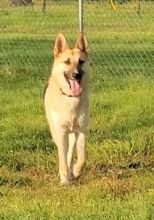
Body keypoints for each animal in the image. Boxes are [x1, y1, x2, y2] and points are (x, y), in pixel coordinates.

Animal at [44, 32, 89, 185]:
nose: (77, 75)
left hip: (72, 136)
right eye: (67, 62)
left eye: (81, 61)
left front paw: (75, 172)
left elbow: (81, 158)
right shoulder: (61, 132)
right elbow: (62, 158)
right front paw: (64, 180)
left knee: (70, 154)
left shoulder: (80, 131)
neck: (70, 99)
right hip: (57, 133)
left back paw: (71, 173)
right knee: (63, 153)